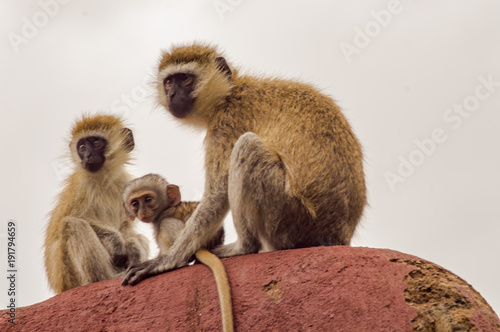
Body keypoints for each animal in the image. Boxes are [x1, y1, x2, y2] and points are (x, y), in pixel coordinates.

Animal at [44, 115, 148, 294]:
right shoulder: (81, 188)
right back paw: (105, 278)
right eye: (82, 147)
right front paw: (116, 241)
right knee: (71, 224)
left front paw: (132, 245)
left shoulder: (125, 184)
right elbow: (69, 221)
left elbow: (125, 227)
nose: (87, 156)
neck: (103, 179)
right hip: (70, 277)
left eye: (97, 143)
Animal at [122, 174, 233, 332]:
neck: (167, 207)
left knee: (167, 224)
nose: (142, 211)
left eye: (148, 199)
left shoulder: (161, 218)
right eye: (135, 203)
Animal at [124, 43, 368, 288]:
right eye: (168, 82)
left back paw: (244, 247)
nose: (172, 94)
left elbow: (217, 193)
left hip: (292, 221)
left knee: (247, 147)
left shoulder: (226, 122)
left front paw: (167, 260)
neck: (230, 93)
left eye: (184, 78)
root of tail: (338, 235)